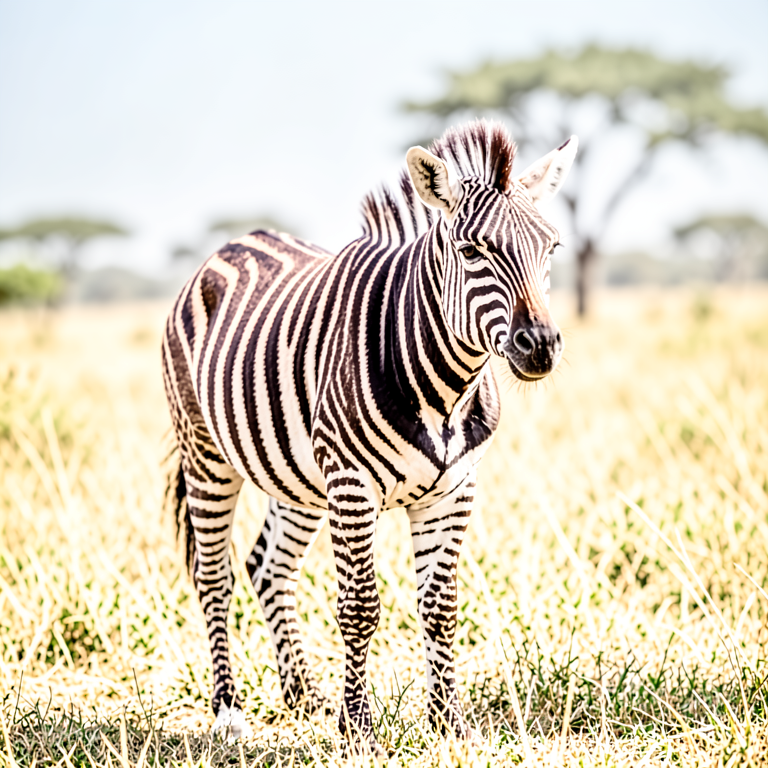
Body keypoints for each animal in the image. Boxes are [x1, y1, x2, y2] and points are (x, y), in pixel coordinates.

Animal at [162, 120, 577, 752]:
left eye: (550, 249)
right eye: (472, 251)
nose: (541, 347)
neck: (446, 389)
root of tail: (229, 247)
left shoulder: (454, 489)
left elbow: (439, 606)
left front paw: (448, 722)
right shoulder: (352, 484)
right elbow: (359, 607)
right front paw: (356, 727)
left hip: (297, 477)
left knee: (267, 566)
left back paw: (303, 695)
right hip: (207, 455)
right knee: (216, 577)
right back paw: (229, 713)